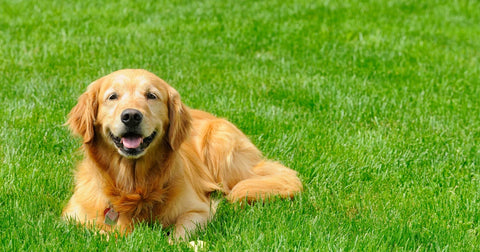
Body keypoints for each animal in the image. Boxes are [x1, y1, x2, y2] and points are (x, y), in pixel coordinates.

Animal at [62, 69, 304, 240]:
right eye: (112, 96)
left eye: (151, 96)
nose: (131, 116)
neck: (134, 187)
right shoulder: (71, 218)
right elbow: (98, 232)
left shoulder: (198, 210)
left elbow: (180, 233)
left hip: (221, 148)